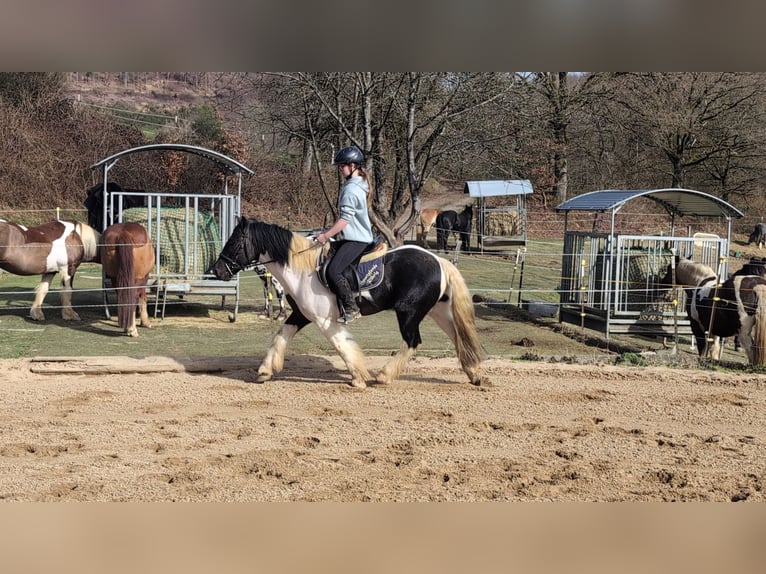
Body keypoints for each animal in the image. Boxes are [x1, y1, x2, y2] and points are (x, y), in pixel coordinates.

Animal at [208, 217, 485, 388]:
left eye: (235, 242)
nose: (217, 270)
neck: (302, 270)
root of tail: (439, 261)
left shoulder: (324, 320)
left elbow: (342, 347)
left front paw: (359, 378)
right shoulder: (302, 315)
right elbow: (280, 337)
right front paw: (265, 371)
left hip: (408, 313)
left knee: (412, 341)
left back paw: (384, 376)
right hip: (438, 311)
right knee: (458, 337)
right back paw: (474, 373)